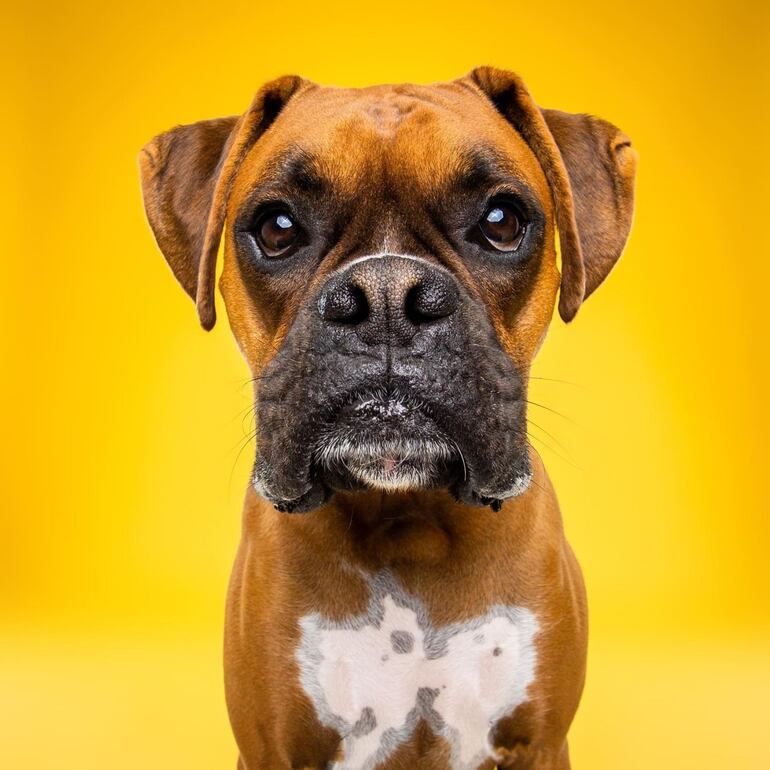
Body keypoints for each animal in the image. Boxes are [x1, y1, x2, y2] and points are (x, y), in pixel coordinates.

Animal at [138, 67, 636, 768]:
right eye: (277, 228)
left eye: (502, 220)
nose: (387, 295)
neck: (407, 520)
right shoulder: (272, 749)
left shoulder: (540, 745)